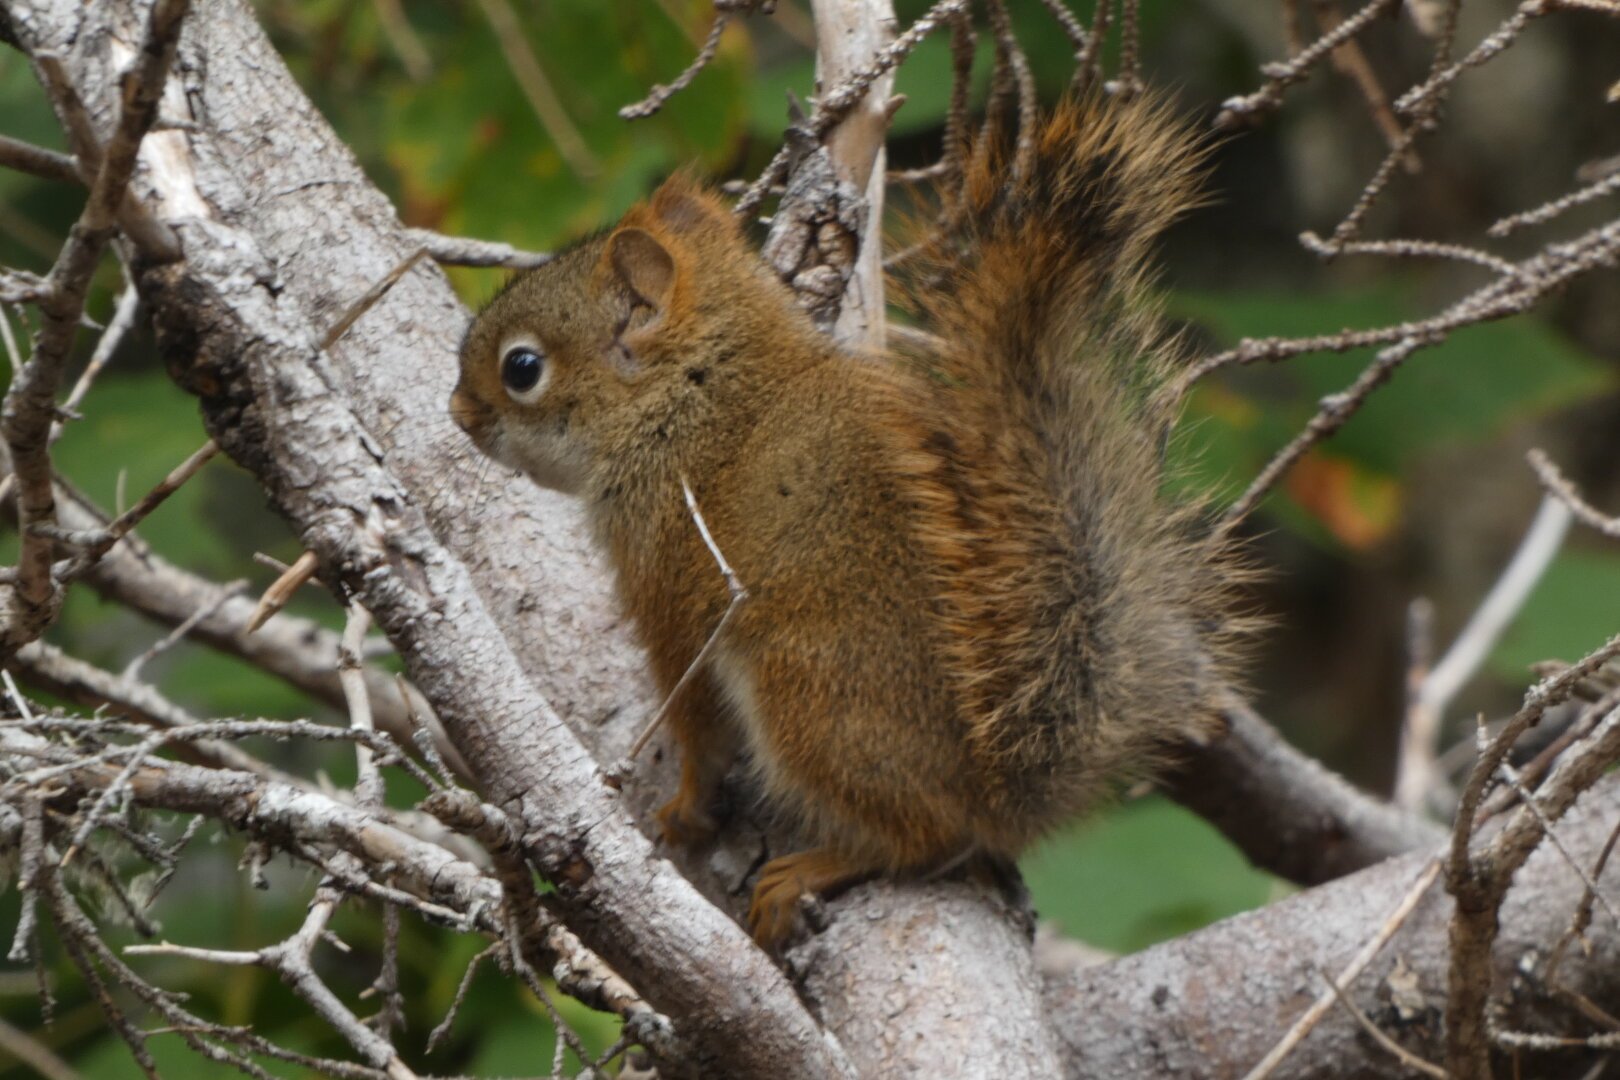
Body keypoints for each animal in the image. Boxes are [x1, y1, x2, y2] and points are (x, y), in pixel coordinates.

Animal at [450, 93, 1245, 948]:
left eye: (522, 368)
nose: (456, 414)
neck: (693, 395)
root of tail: (1003, 788)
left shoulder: (669, 577)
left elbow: (695, 718)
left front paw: (687, 809)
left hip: (809, 696)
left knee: (930, 833)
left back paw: (811, 869)